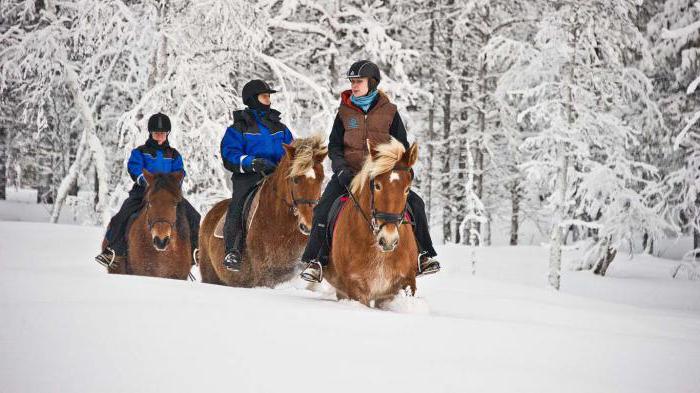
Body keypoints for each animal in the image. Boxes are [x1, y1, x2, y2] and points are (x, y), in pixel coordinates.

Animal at [198, 136, 326, 286]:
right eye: (295, 179)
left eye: (321, 178)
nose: (308, 225)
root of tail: (211, 212)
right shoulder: (264, 274)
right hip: (211, 277)